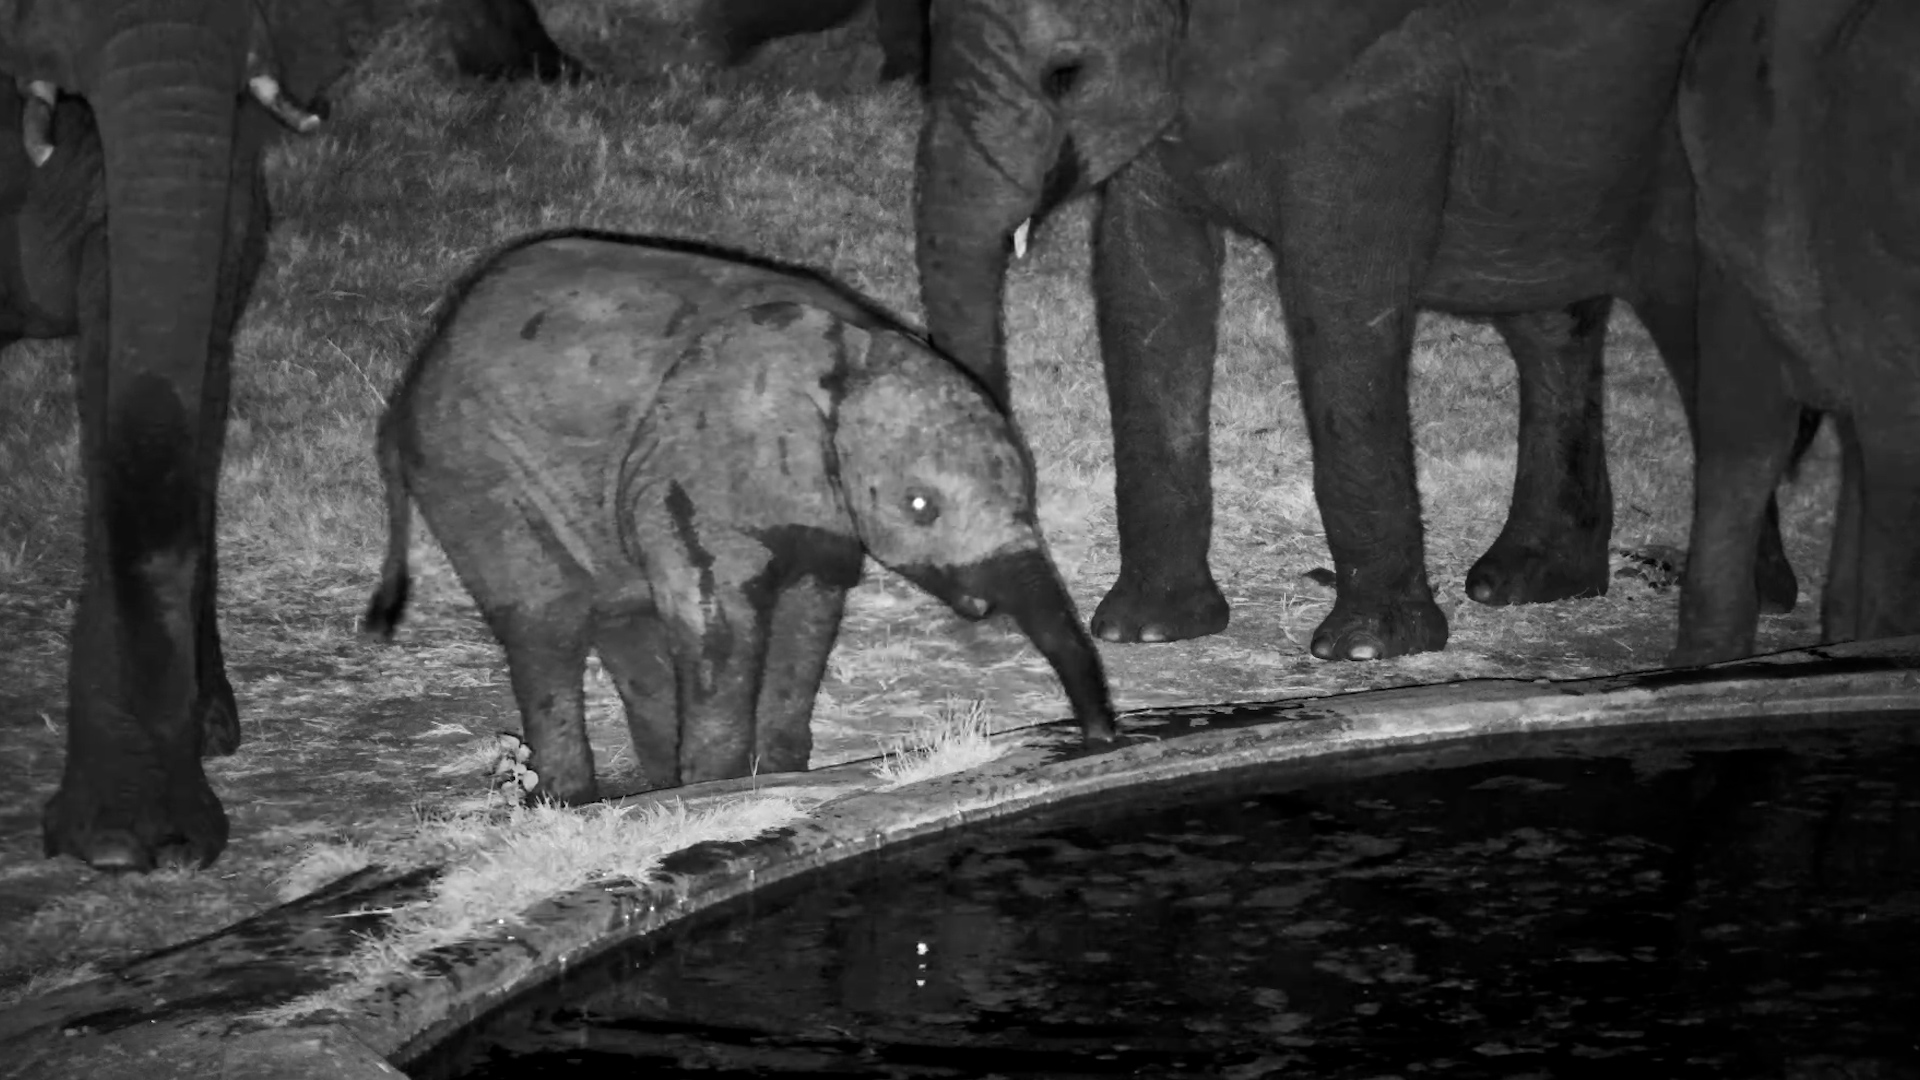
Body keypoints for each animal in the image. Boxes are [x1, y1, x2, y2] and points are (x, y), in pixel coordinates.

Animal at [362, 232, 1118, 802]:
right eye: (920, 506)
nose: (1101, 739)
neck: (852, 348)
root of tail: (407, 392)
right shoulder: (687, 465)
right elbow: (718, 618)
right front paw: (720, 789)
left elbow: (810, 614)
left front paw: (776, 776)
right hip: (476, 474)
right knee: (547, 624)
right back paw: (578, 802)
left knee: (625, 624)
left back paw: (656, 789)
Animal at [913, 0, 1804, 662]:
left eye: (1065, 74)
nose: (982, 608)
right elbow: (1145, 274)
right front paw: (1147, 630)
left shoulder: (1382, 81)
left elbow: (1338, 288)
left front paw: (1368, 650)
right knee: (1550, 322)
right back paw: (1529, 582)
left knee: (1698, 332)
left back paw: (1751, 611)